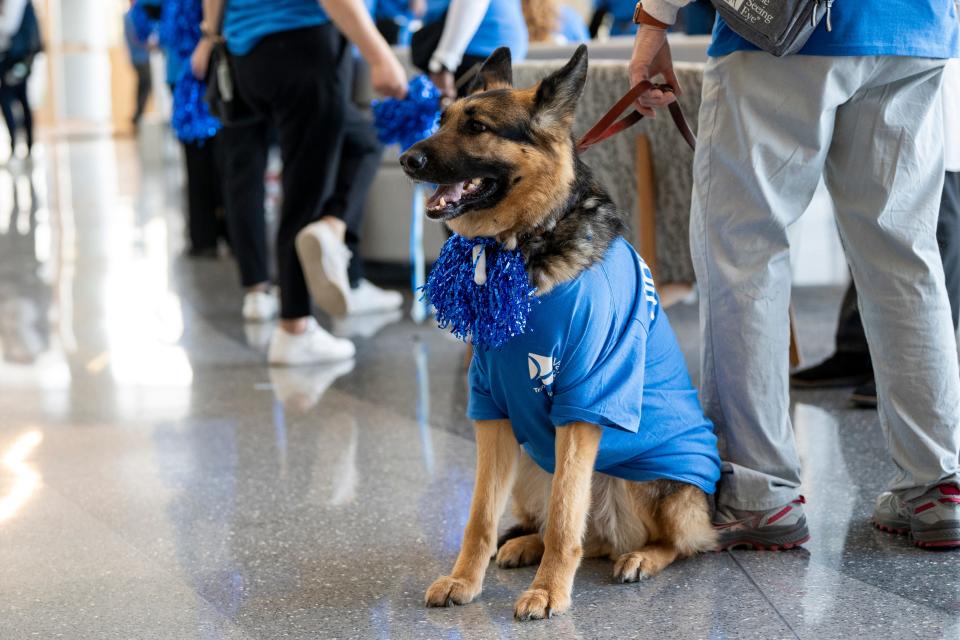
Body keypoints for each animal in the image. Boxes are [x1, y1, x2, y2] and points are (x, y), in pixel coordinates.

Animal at [398, 45, 712, 620]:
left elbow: (567, 514)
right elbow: (479, 517)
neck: (521, 246)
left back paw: (640, 556)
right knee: (577, 531)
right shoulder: (490, 411)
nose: (408, 160)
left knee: (674, 541)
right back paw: (525, 543)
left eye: (477, 126)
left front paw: (548, 592)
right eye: (440, 120)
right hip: (528, 463)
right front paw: (464, 578)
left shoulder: (584, 404)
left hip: (655, 485)